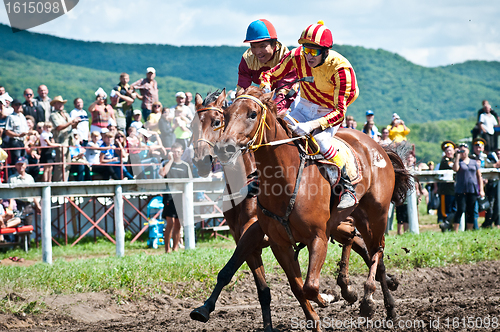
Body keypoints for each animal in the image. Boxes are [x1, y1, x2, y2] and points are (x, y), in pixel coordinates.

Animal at [213, 85, 412, 330]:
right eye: (226, 114)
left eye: (252, 113)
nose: (224, 147)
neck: (284, 181)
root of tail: (378, 147)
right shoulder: (279, 244)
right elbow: (298, 287)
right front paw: (318, 319)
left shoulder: (318, 237)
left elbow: (310, 286)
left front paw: (329, 296)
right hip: (354, 217)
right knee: (362, 245)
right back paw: (377, 302)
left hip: (377, 215)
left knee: (377, 252)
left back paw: (370, 301)